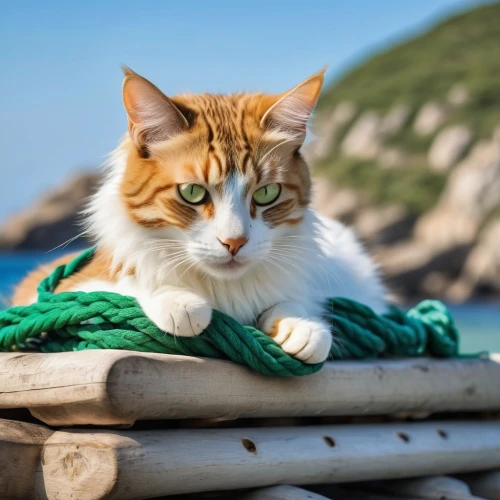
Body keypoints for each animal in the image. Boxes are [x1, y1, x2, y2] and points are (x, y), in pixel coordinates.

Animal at [12, 66, 386, 364]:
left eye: (266, 193)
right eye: (192, 192)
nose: (235, 242)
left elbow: (295, 302)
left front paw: (304, 327)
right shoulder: (65, 285)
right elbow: (128, 284)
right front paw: (179, 300)